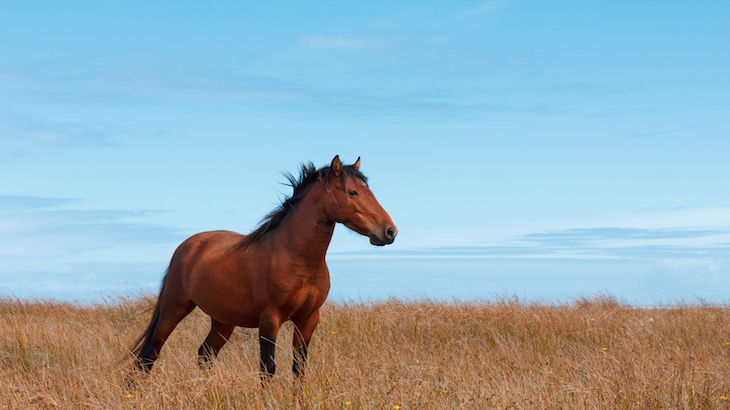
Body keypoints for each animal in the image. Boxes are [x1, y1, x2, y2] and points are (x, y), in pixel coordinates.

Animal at [129, 156, 397, 381]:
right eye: (353, 192)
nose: (389, 231)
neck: (298, 259)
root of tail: (188, 245)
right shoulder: (270, 319)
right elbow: (267, 368)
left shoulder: (309, 319)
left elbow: (299, 367)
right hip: (174, 309)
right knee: (149, 355)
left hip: (223, 321)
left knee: (205, 354)